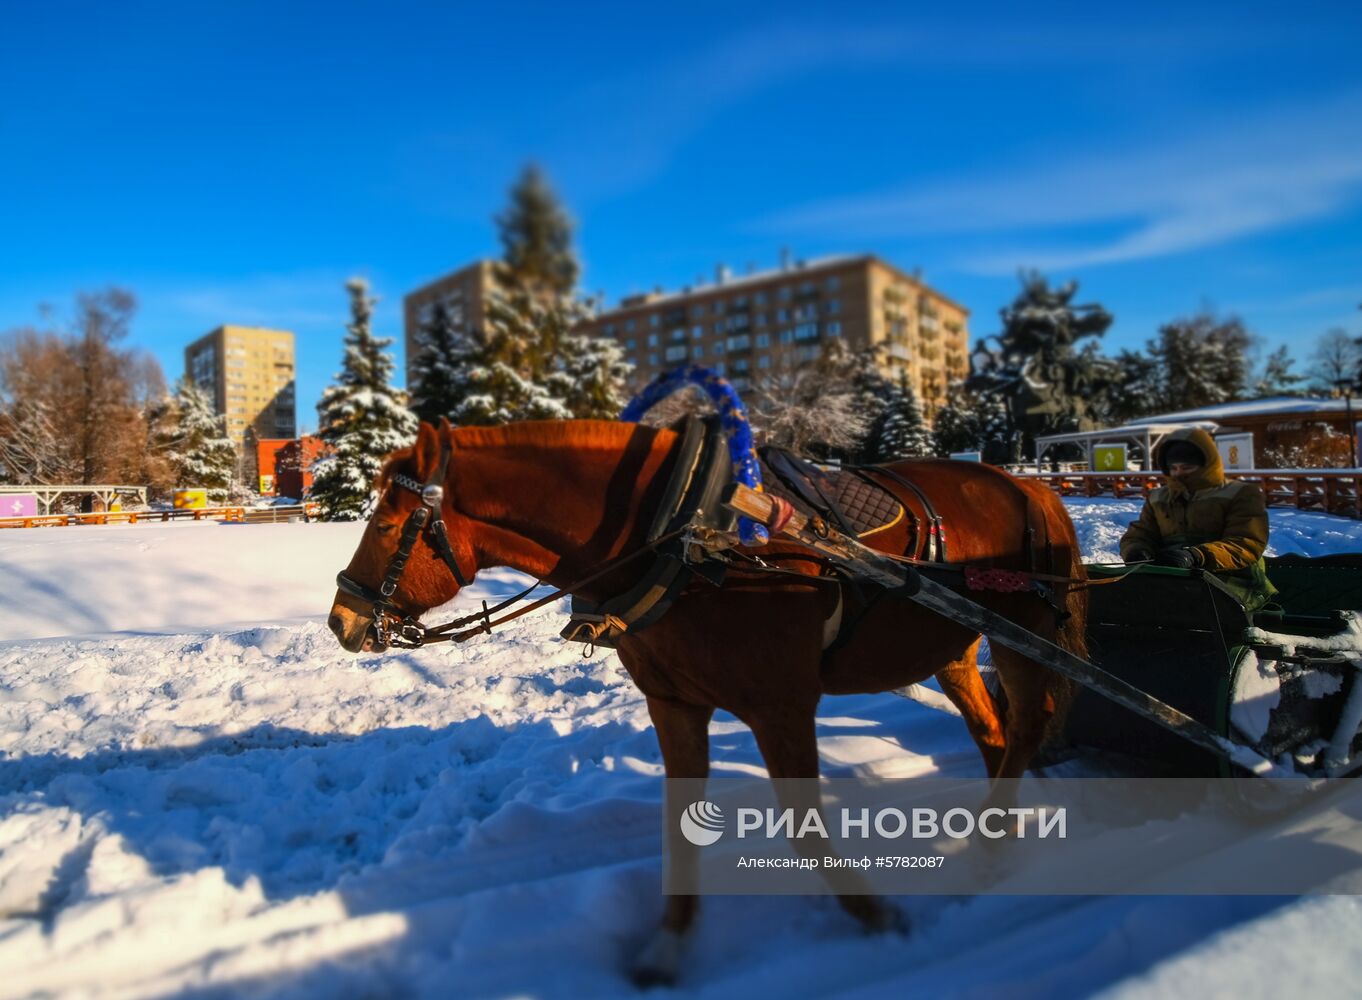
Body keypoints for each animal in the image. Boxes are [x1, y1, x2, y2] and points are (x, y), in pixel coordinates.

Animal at [326, 422, 1084, 986]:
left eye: (389, 525)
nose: (340, 619)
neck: (682, 534)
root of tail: (1022, 484)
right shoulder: (673, 704)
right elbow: (680, 824)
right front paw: (668, 947)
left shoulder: (782, 705)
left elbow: (805, 827)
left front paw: (877, 919)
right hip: (953, 650)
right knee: (994, 738)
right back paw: (999, 833)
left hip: (1021, 639)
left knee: (1027, 728)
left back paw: (992, 847)